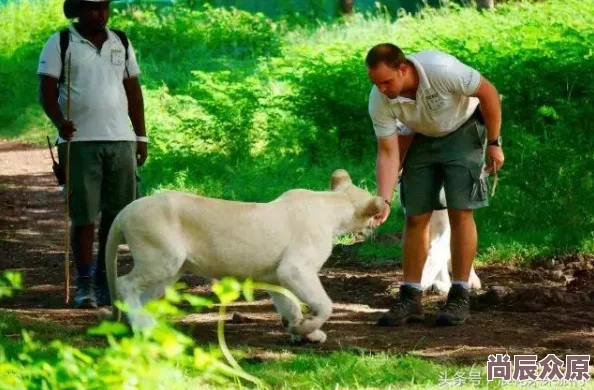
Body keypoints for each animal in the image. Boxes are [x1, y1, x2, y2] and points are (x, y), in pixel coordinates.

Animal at [104, 169, 382, 342]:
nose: (383, 213)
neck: (334, 204)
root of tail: (125, 211)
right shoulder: (295, 269)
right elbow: (325, 305)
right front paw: (307, 328)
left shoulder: (276, 277)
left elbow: (290, 305)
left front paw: (301, 332)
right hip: (161, 258)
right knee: (124, 284)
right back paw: (144, 326)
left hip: (170, 269)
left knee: (143, 296)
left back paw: (150, 328)